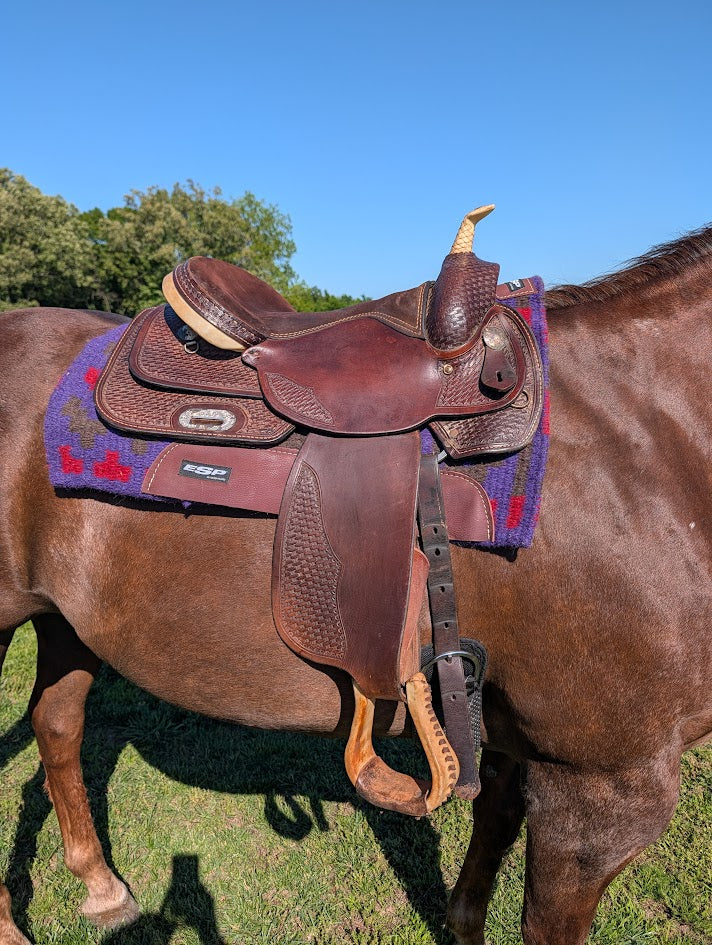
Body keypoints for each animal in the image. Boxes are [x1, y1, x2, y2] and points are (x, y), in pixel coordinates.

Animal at [0, 225, 710, 945]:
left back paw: (102, 889)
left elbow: (487, 839)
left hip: (64, 618)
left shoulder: (520, 745)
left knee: (57, 725)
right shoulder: (600, 790)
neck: (644, 442)